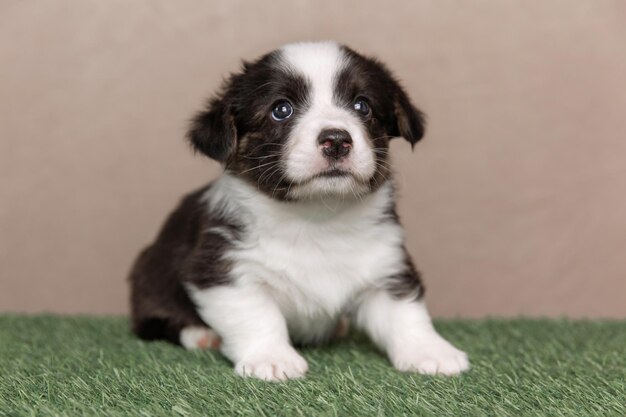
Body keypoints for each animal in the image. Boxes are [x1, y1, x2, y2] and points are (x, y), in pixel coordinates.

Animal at [128, 40, 468, 378]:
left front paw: (430, 351)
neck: (318, 216)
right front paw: (272, 358)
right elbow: (256, 315)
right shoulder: (223, 270)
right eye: (281, 110)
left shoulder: (388, 267)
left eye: (362, 106)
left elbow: (406, 313)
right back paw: (201, 334)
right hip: (150, 277)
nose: (336, 140)